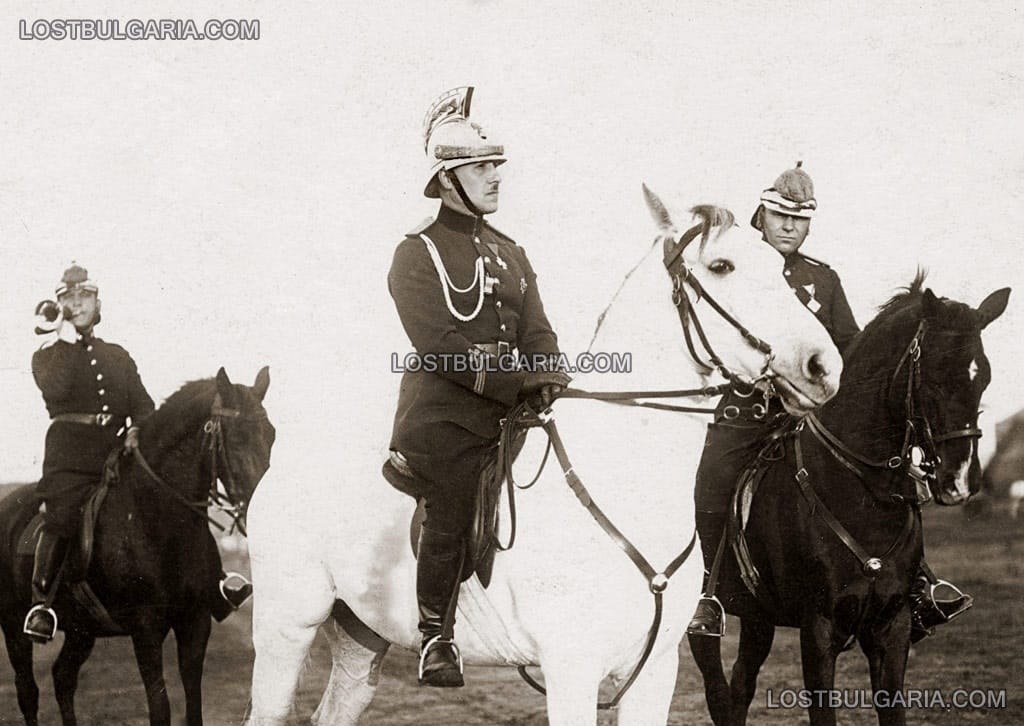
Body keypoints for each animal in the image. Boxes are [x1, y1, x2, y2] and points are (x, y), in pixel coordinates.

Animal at [0, 368, 276, 724]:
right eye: (237, 436)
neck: (155, 516)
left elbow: (194, 704)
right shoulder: (146, 628)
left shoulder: (195, 621)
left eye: (271, 434)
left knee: (63, 678)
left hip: (81, 629)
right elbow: (159, 707)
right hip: (13, 625)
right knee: (28, 692)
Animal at [243, 188, 843, 724]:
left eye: (780, 266)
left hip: (361, 631)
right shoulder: (571, 670)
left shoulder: (653, 674)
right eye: (721, 266)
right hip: (286, 627)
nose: (823, 366)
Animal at [688, 278, 1007, 724]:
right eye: (933, 376)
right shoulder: (819, 629)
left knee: (740, 685)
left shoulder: (892, 626)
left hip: (757, 617)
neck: (864, 496)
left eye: (984, 378)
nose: (960, 479)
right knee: (717, 688)